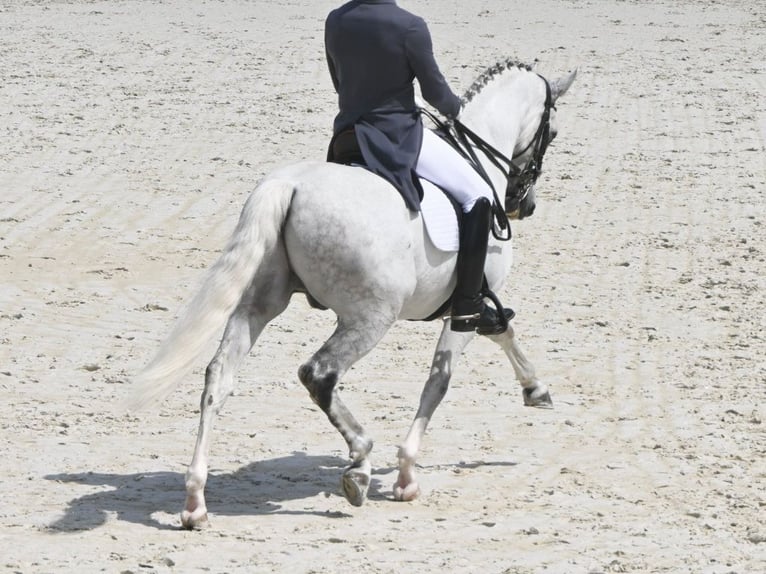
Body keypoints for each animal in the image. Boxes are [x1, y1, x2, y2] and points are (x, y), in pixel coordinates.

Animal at [132, 60, 576, 528]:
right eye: (553, 132)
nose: (523, 206)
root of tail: (291, 185)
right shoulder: (468, 308)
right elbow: (441, 379)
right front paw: (406, 474)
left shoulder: (476, 307)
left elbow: (503, 332)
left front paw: (536, 390)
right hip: (370, 317)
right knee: (319, 374)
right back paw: (359, 464)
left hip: (259, 303)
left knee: (219, 376)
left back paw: (195, 500)